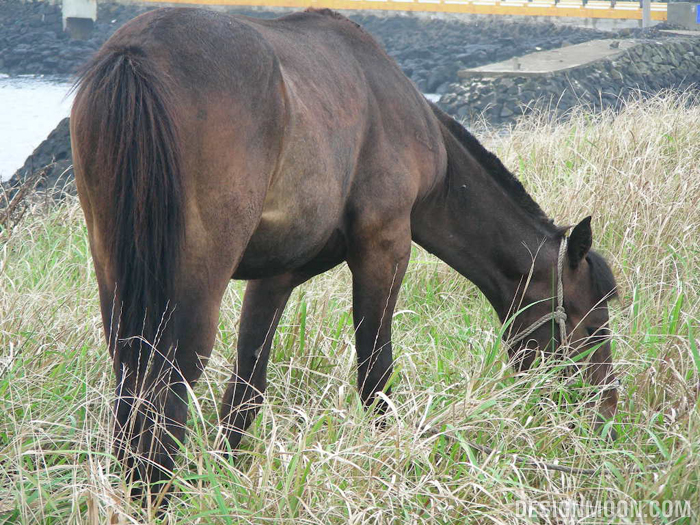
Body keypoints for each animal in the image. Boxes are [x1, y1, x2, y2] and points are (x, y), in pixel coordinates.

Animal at [69, 7, 616, 500]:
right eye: (591, 326)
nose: (606, 419)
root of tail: (135, 54)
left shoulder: (275, 276)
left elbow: (247, 389)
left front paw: (226, 480)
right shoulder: (385, 248)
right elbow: (375, 376)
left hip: (121, 277)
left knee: (132, 376)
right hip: (194, 283)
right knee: (167, 385)